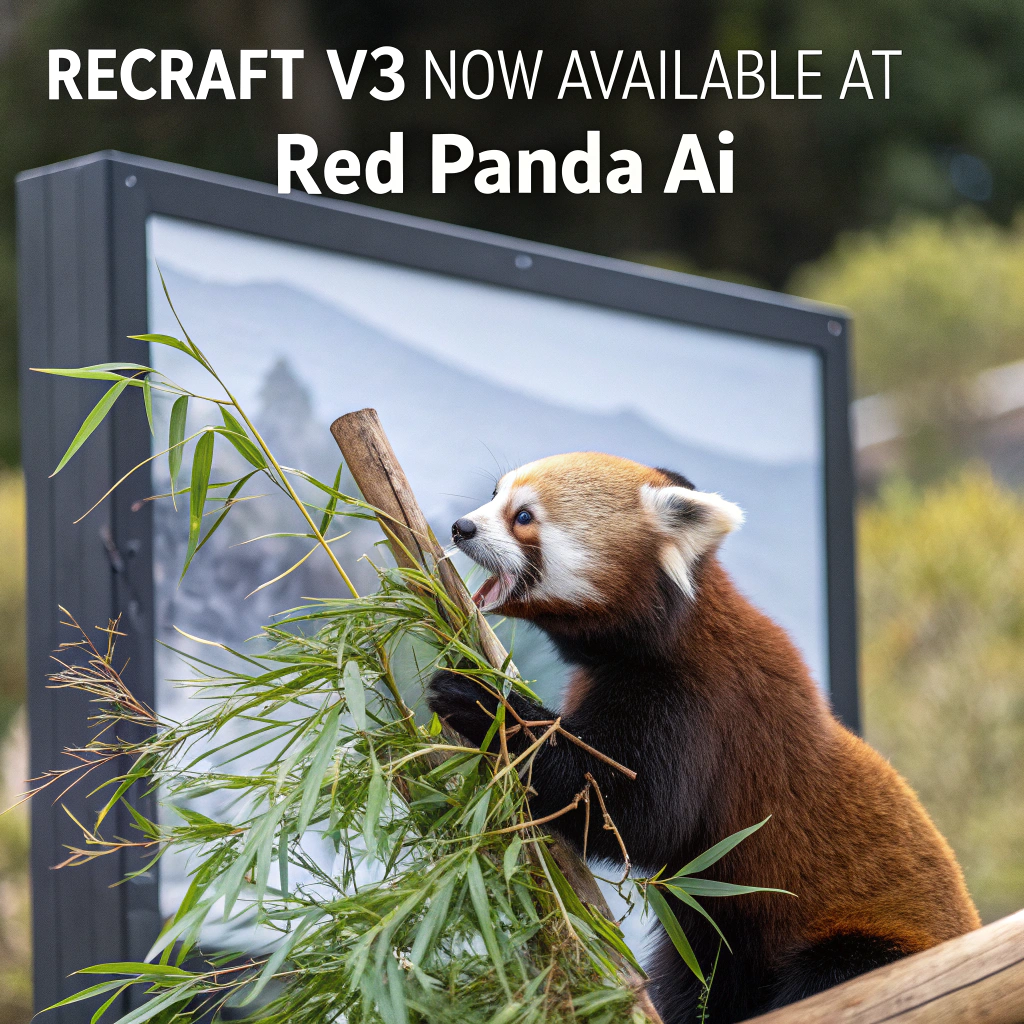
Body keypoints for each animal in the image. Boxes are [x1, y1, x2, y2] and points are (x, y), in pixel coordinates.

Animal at [427, 452, 979, 1024]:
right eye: (494, 494)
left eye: (524, 517)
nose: (461, 527)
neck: (669, 634)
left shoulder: (699, 708)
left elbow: (634, 812)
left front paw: (482, 704)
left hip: (870, 940)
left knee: (833, 972)